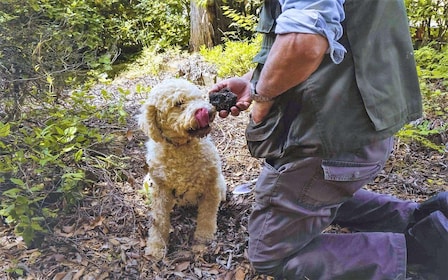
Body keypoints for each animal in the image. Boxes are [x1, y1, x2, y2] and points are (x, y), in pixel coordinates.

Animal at [137, 77, 228, 260]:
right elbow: (159, 221)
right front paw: (156, 246)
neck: (182, 147)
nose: (206, 111)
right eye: (178, 103)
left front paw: (204, 238)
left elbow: (207, 215)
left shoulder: (211, 185)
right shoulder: (160, 190)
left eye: (199, 97)